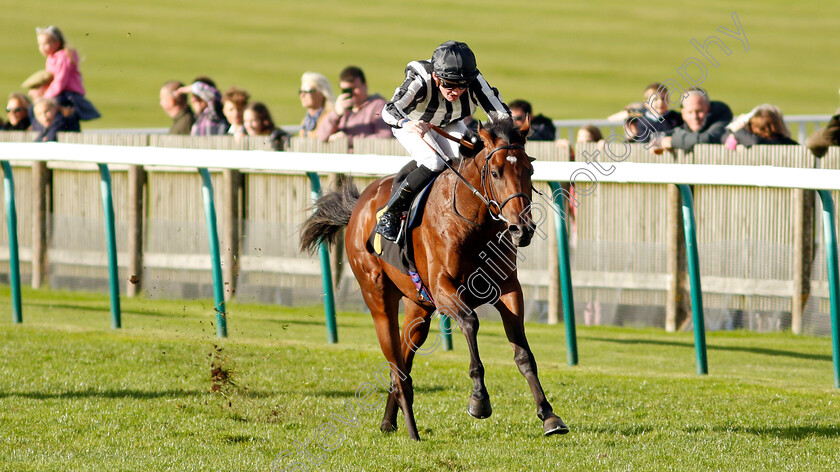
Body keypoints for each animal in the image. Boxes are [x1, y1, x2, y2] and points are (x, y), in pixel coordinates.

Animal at [298, 116, 568, 440]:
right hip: (378, 297)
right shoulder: (443, 289)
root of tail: (360, 205)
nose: (522, 229)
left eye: (529, 170)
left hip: (418, 309)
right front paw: (479, 400)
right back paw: (412, 431)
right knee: (395, 361)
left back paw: (389, 422)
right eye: (495, 172)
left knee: (403, 363)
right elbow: (470, 323)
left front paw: (549, 415)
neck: (472, 223)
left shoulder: (508, 289)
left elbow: (524, 354)